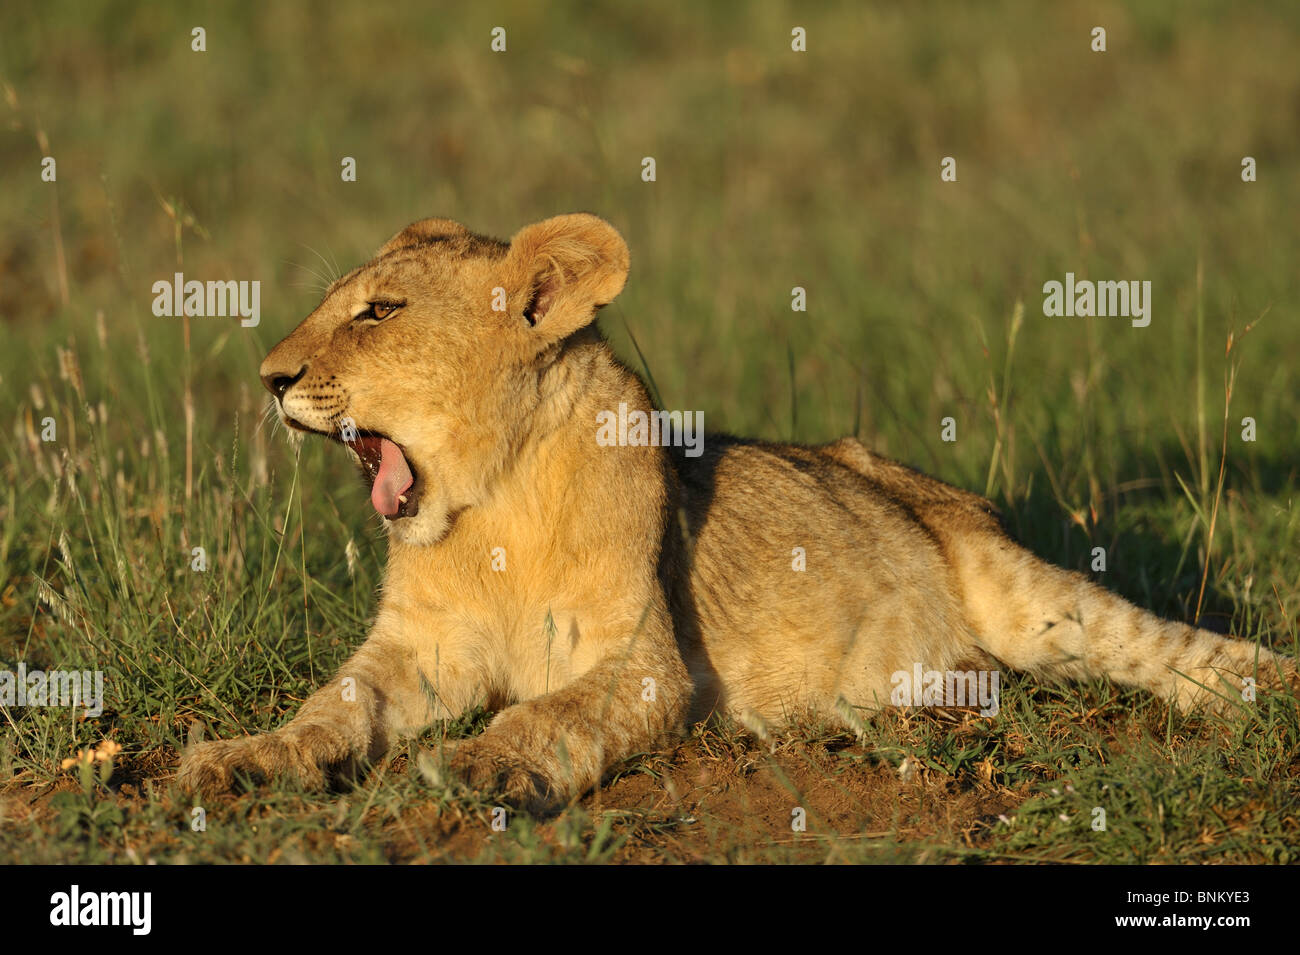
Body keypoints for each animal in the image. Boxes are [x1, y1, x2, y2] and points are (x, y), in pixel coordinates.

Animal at [178, 213, 1295, 810]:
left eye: (379, 312)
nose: (270, 377)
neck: (486, 506)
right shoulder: (416, 648)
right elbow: (332, 707)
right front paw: (240, 758)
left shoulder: (645, 659)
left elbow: (546, 712)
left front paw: (474, 765)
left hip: (1023, 586)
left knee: (1166, 646)